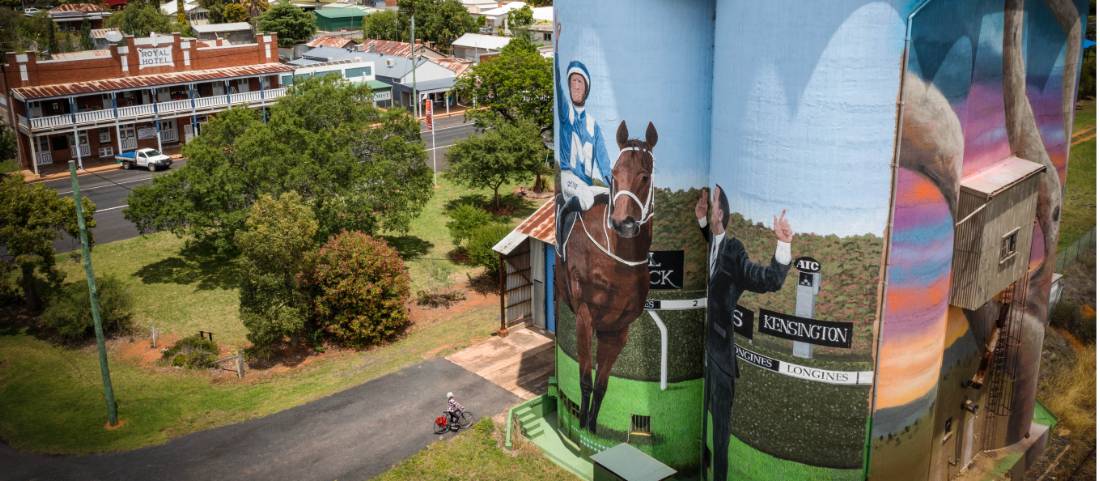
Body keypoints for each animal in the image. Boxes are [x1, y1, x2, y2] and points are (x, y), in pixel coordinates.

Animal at [558, 119, 651, 431]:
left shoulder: (618, 330)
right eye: (614, 175)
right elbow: (586, 381)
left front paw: (591, 428)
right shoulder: (585, 316)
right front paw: (581, 426)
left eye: (644, 176)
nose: (624, 223)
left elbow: (601, 386)